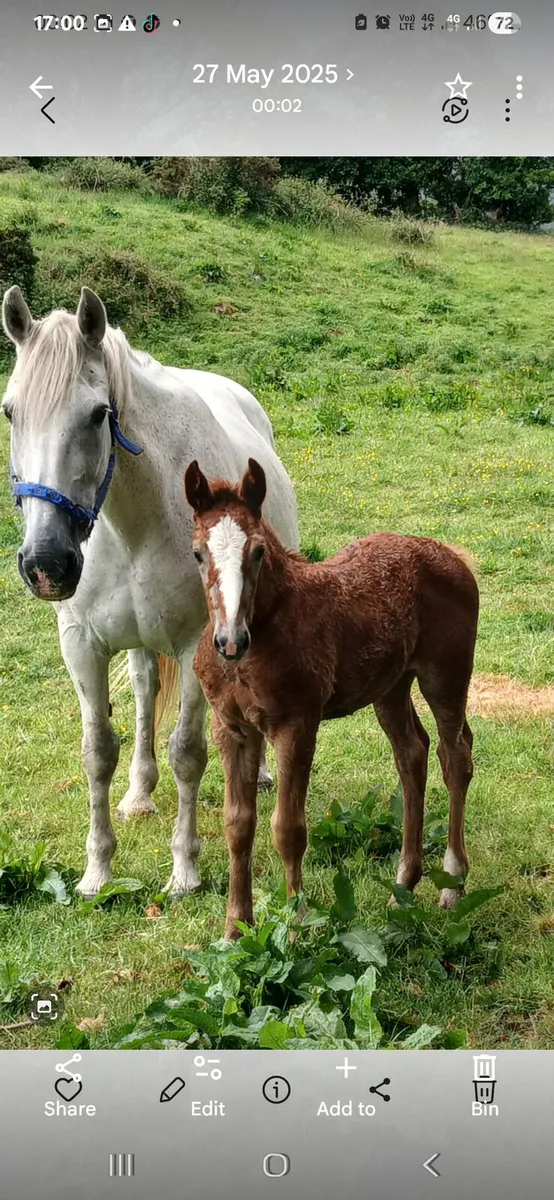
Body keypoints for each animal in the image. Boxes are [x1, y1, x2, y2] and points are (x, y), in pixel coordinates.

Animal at [1, 286, 299, 898]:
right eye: (10, 411)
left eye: (98, 414)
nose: (46, 563)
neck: (134, 517)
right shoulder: (82, 644)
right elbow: (98, 751)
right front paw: (96, 872)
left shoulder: (197, 646)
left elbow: (188, 753)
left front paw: (184, 870)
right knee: (142, 690)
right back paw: (139, 793)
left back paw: (258, 773)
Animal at [185, 458, 479, 940]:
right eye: (198, 553)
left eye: (258, 551)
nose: (229, 641)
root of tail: (452, 555)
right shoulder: (231, 728)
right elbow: (238, 825)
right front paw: (235, 929)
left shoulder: (296, 726)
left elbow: (288, 828)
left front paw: (295, 924)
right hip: (391, 687)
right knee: (412, 753)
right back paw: (404, 881)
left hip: (446, 676)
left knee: (455, 756)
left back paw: (452, 883)